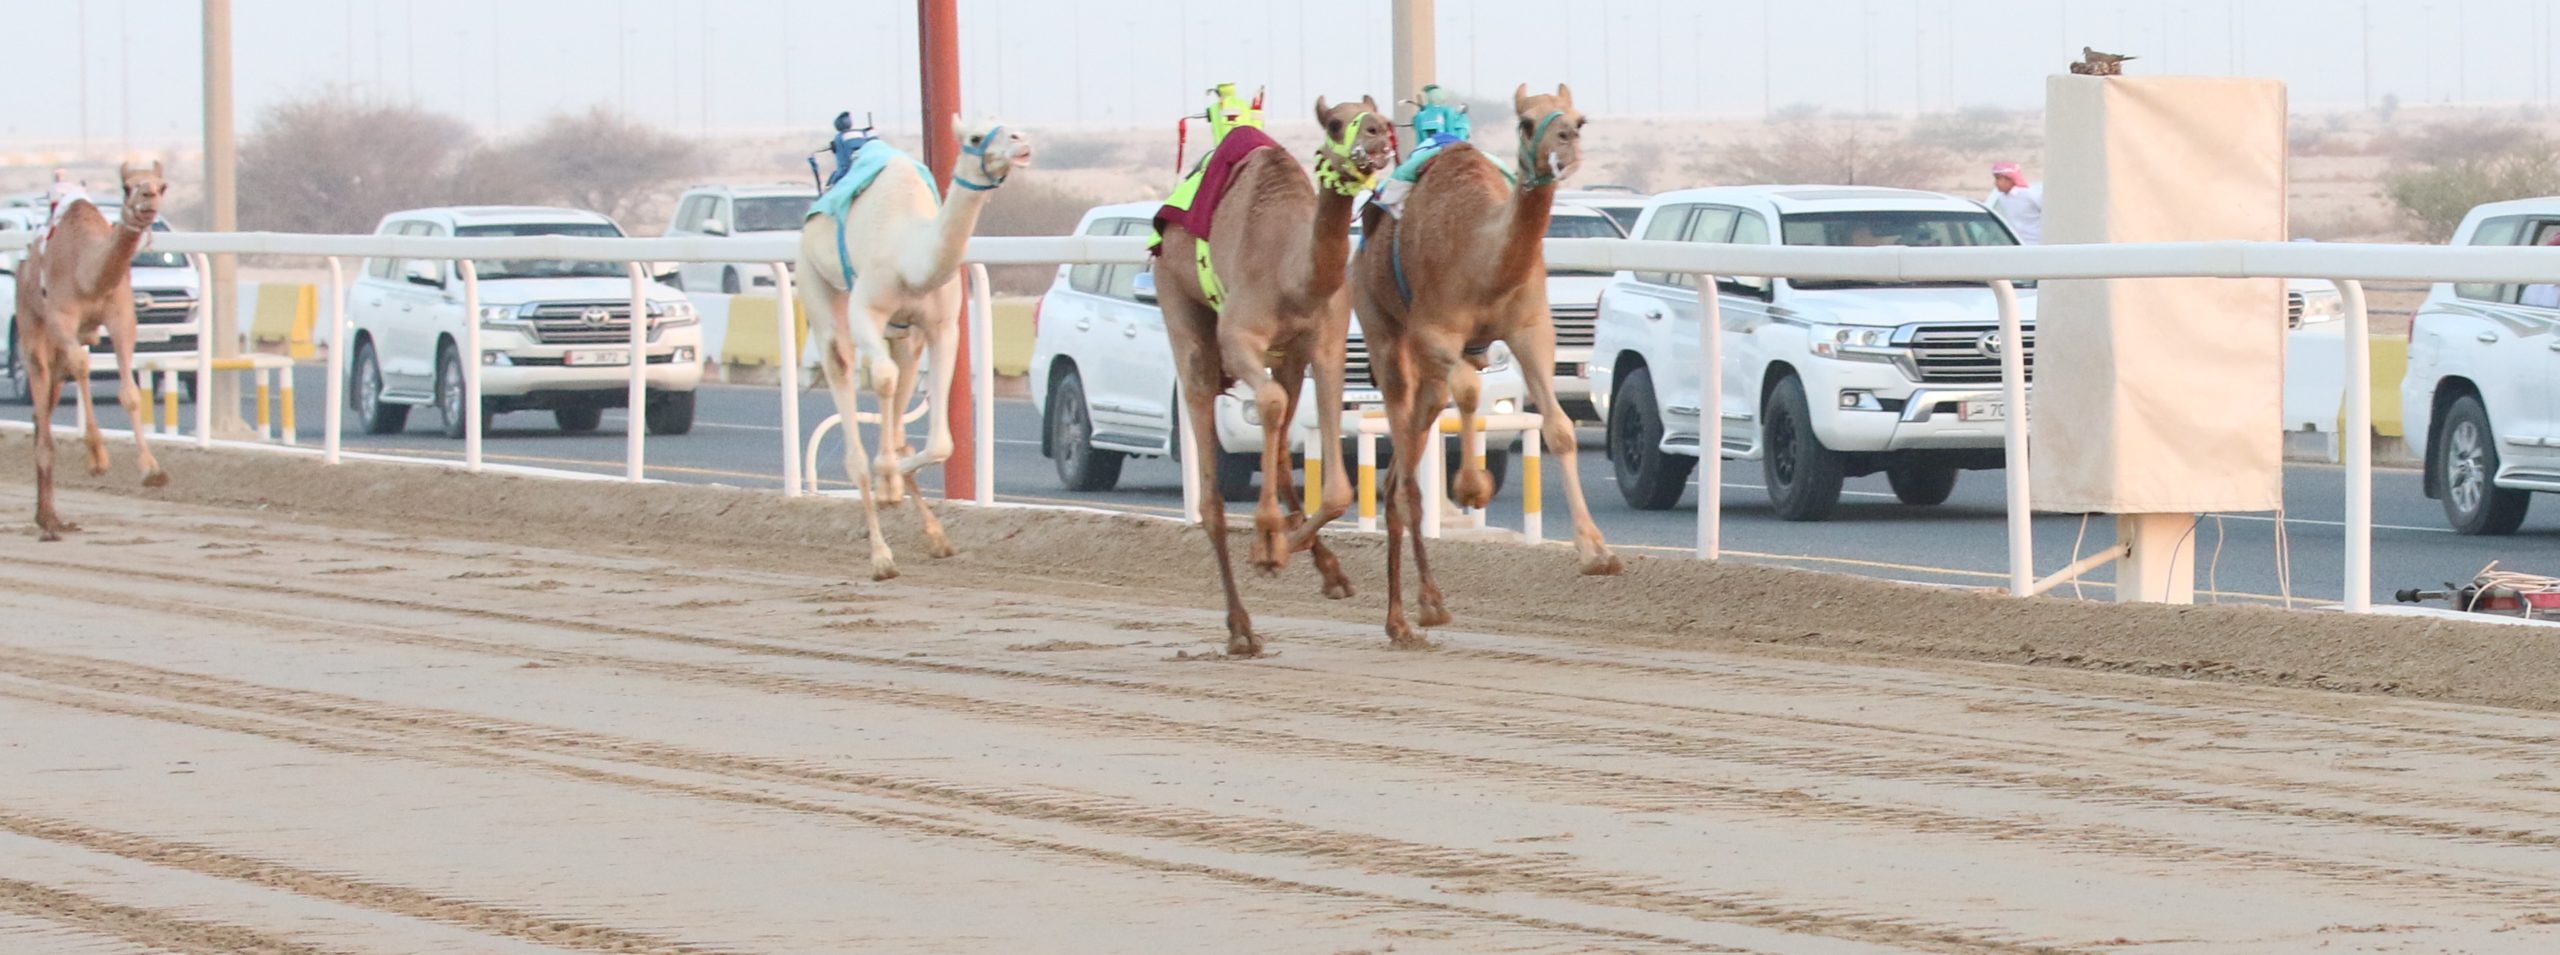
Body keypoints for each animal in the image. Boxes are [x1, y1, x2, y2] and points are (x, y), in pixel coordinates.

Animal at [13, 160, 170, 540]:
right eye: (127, 186)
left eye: (163, 186)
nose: (148, 198)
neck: (88, 276)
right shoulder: (63, 320)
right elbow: (83, 366)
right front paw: (98, 460)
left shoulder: (121, 318)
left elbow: (130, 392)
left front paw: (153, 471)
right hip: (33, 333)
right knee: (43, 391)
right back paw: (49, 523)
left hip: (54, 357)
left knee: (42, 415)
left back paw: (50, 518)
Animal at [798, 119, 1039, 581]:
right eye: (975, 137)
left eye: (1010, 127)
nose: (1021, 143)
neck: (909, 257)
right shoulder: (866, 309)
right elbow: (881, 381)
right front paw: (886, 484)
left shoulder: (942, 327)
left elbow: (941, 442)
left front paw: (893, 480)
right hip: (816, 286)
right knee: (847, 368)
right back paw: (881, 554)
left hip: (905, 338)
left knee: (896, 389)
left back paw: (933, 532)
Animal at [1162, 96, 1402, 655]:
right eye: (1336, 123)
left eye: (1379, 115)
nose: (1378, 133)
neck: (1294, 277)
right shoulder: (1239, 338)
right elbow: (1267, 404)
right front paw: (1268, 549)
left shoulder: (1325, 344)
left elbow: (1335, 490)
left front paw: (1285, 547)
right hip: (1184, 317)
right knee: (1212, 491)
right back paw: (1241, 629)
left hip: (1288, 359)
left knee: (1279, 437)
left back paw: (1326, 569)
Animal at [1341, 83, 1617, 647]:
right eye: (1526, 123)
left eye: (1579, 119)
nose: (1566, 144)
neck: (1482, 256)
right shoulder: (1434, 330)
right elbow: (1469, 392)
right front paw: (1472, 486)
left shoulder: (1531, 331)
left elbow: (1559, 428)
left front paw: (1596, 552)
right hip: (1385, 335)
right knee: (1405, 468)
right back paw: (1406, 615)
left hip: (1426, 374)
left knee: (1399, 474)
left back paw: (1422, 608)